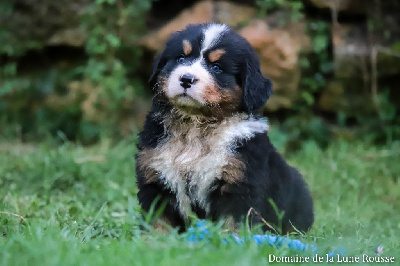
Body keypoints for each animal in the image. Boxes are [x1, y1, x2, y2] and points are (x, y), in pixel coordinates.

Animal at [136, 23, 314, 234]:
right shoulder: (155, 176)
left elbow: (234, 226)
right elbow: (158, 222)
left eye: (216, 67)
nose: (186, 78)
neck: (196, 124)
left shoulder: (239, 184)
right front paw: (153, 240)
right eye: (180, 58)